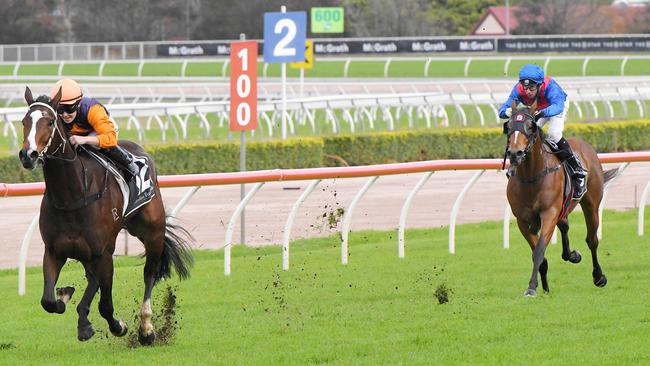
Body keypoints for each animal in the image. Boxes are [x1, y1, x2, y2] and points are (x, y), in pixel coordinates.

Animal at [17, 87, 192, 344]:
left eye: (49, 122)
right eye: (24, 121)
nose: (27, 155)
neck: (72, 196)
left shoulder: (103, 253)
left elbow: (106, 307)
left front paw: (120, 326)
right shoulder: (54, 251)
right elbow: (48, 301)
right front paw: (66, 297)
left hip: (152, 233)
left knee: (149, 274)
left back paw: (146, 328)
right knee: (92, 279)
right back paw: (82, 318)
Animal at [504, 101, 616, 298]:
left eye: (531, 126)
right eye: (508, 126)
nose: (515, 153)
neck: (531, 176)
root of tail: (585, 145)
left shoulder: (549, 213)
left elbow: (539, 251)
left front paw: (531, 287)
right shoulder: (522, 220)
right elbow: (538, 253)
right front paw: (542, 287)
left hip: (591, 204)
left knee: (592, 240)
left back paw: (599, 276)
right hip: (563, 208)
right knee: (565, 226)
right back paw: (572, 255)